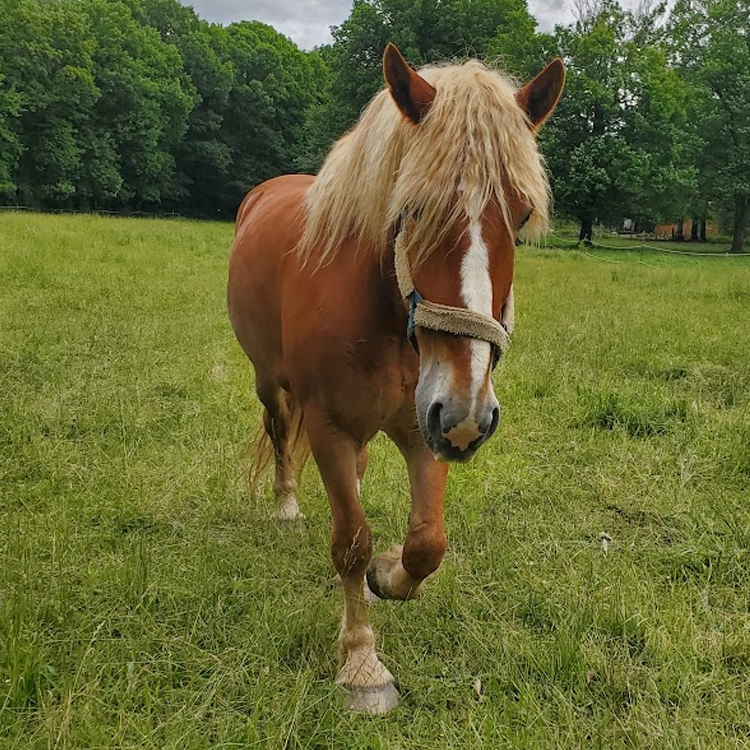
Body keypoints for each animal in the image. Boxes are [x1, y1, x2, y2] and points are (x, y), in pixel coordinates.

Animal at [229, 44, 564, 712]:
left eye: (520, 216)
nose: (472, 412)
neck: (381, 312)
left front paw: (387, 576)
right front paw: (362, 663)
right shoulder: (333, 426)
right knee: (280, 434)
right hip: (270, 385)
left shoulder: (427, 425)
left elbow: (425, 542)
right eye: (415, 208)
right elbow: (351, 540)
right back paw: (286, 504)